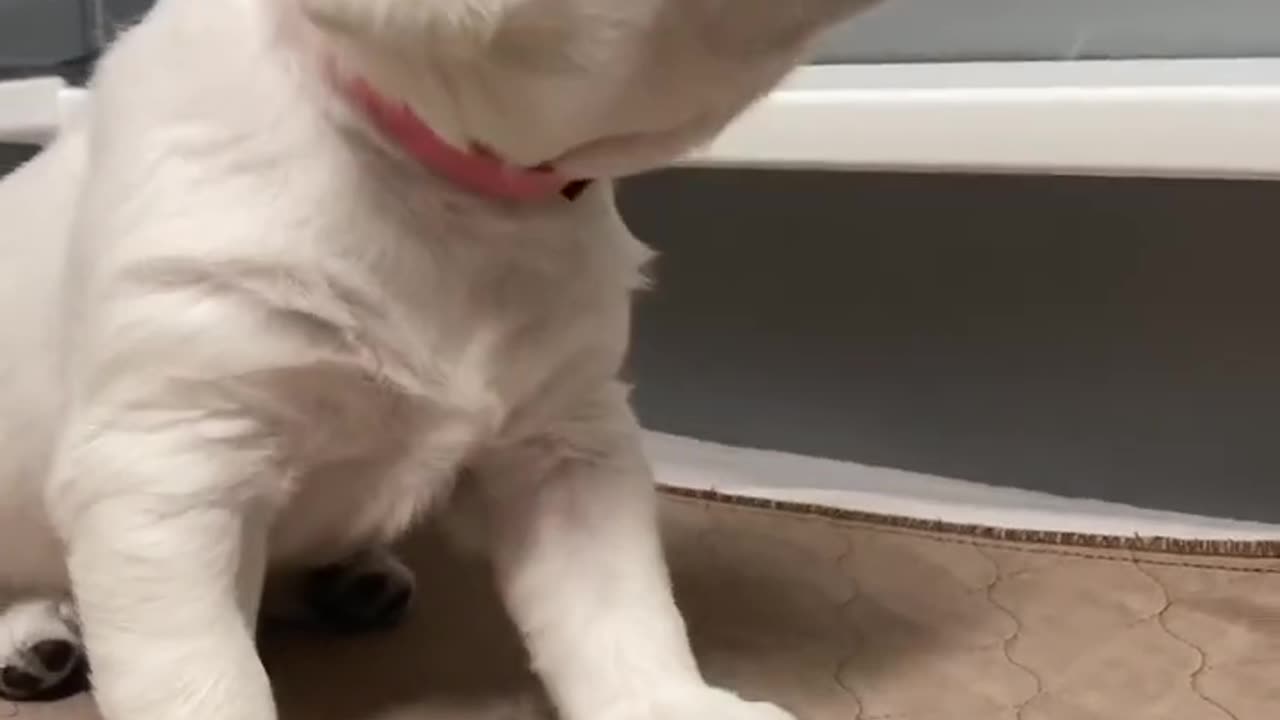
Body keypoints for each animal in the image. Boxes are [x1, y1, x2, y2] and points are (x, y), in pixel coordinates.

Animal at [0, 0, 880, 712]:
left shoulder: (570, 442)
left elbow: (621, 608)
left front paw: (669, 703)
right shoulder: (168, 464)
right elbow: (202, 678)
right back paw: (36, 634)